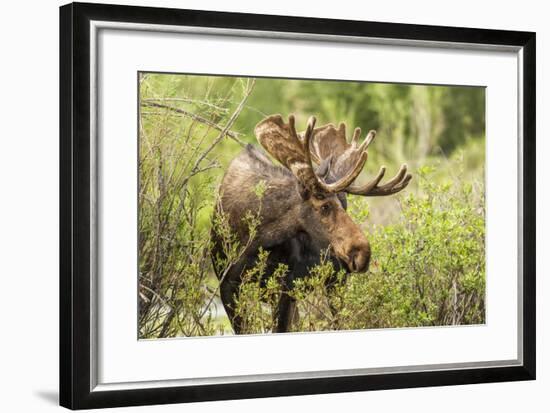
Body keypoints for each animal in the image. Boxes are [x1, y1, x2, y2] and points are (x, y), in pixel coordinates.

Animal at [212, 114, 414, 334]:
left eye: (344, 204)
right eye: (325, 206)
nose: (362, 254)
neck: (256, 238)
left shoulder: (285, 288)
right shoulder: (227, 285)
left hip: (336, 283)